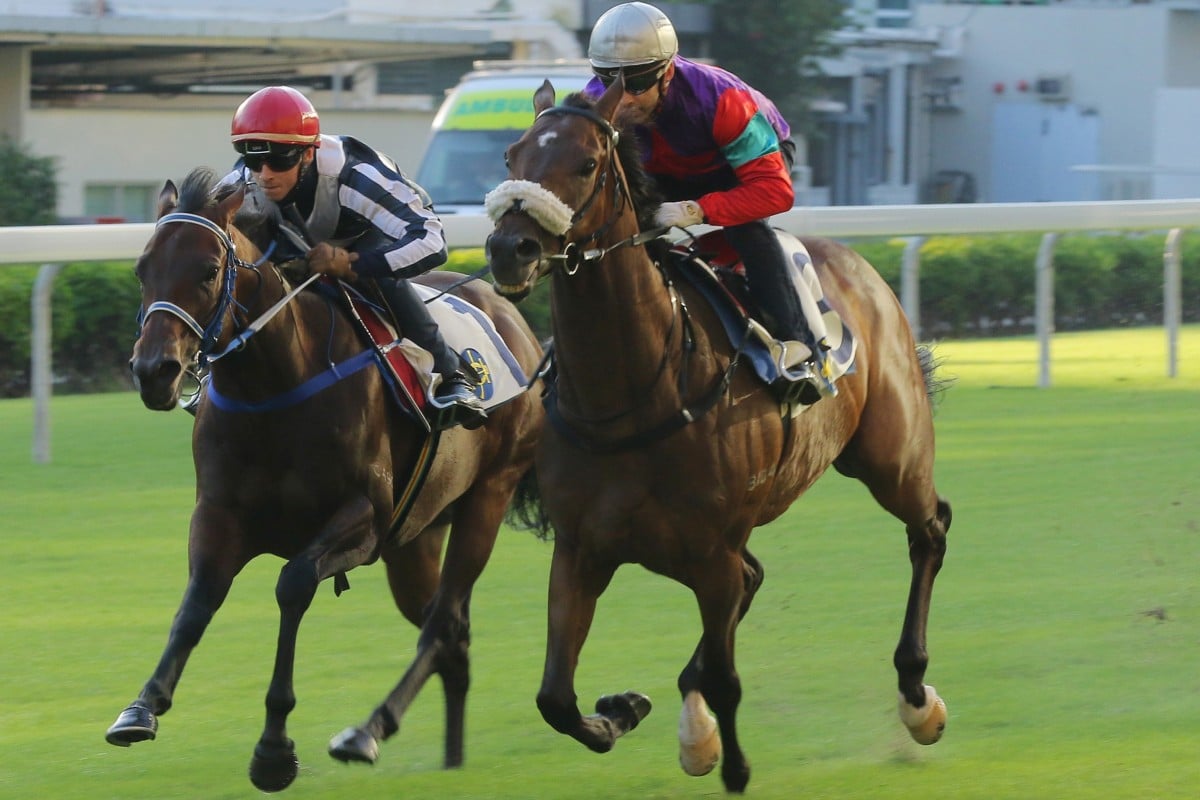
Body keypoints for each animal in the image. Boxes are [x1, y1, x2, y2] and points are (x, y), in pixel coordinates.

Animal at [112, 169, 544, 796]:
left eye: (209, 271)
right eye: (142, 268)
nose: (154, 371)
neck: (273, 386)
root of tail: (520, 330)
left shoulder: (364, 519)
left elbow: (292, 585)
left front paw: (273, 748)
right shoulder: (218, 514)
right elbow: (198, 602)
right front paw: (142, 708)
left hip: (487, 498)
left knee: (443, 623)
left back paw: (367, 732)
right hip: (417, 538)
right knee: (451, 630)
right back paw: (452, 754)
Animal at [482, 77, 950, 791]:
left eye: (586, 163)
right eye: (512, 156)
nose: (512, 249)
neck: (633, 394)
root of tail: (860, 267)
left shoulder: (710, 552)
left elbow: (729, 679)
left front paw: (732, 765)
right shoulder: (583, 549)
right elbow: (555, 698)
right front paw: (622, 712)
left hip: (889, 456)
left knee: (929, 530)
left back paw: (917, 697)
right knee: (756, 577)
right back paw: (692, 725)